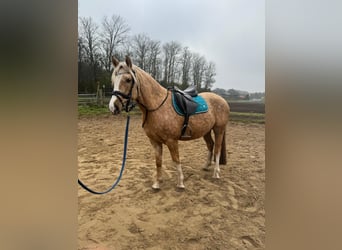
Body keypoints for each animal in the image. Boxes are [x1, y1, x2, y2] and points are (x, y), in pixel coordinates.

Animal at [109, 56, 230, 189]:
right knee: (210, 145)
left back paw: (216, 173)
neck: (157, 106)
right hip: (206, 131)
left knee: (217, 149)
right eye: (113, 80)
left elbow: (176, 159)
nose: (113, 107)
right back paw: (206, 166)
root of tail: (222, 99)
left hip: (219, 129)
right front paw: (157, 183)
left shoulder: (172, 141)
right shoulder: (155, 142)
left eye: (128, 79)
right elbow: (158, 162)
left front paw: (180, 183)